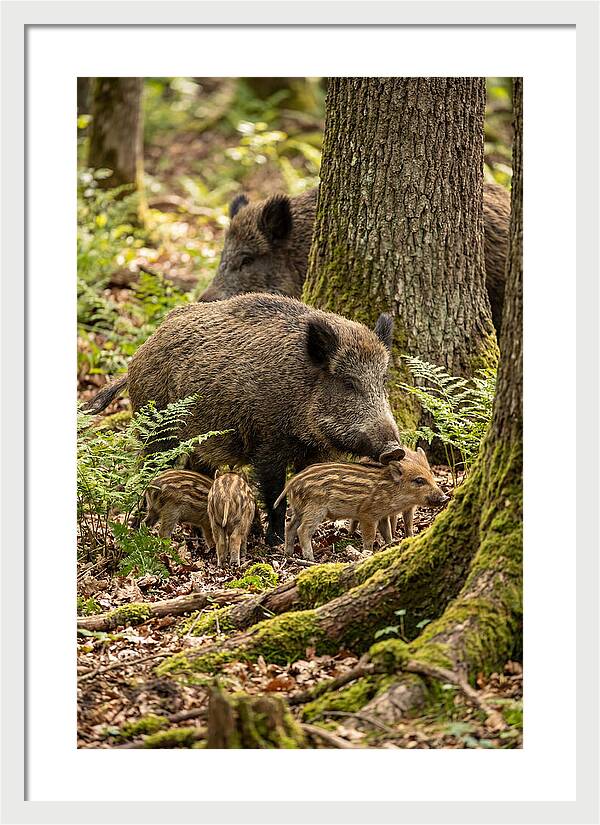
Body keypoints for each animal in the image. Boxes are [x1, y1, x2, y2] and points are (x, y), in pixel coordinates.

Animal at [84, 293, 402, 546]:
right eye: (348, 383)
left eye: (382, 380)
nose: (395, 449)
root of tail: (138, 355)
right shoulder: (267, 443)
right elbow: (274, 494)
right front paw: (274, 542)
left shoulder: (314, 452)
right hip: (159, 430)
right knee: (147, 471)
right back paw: (137, 527)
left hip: (200, 440)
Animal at [275, 447, 448, 561]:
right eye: (419, 480)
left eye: (431, 475)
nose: (445, 498)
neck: (391, 490)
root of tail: (292, 483)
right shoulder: (368, 515)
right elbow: (369, 536)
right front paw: (368, 552)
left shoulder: (382, 515)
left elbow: (386, 531)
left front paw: (390, 545)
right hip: (315, 509)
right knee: (303, 530)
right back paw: (310, 558)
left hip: (299, 509)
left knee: (289, 527)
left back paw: (288, 553)